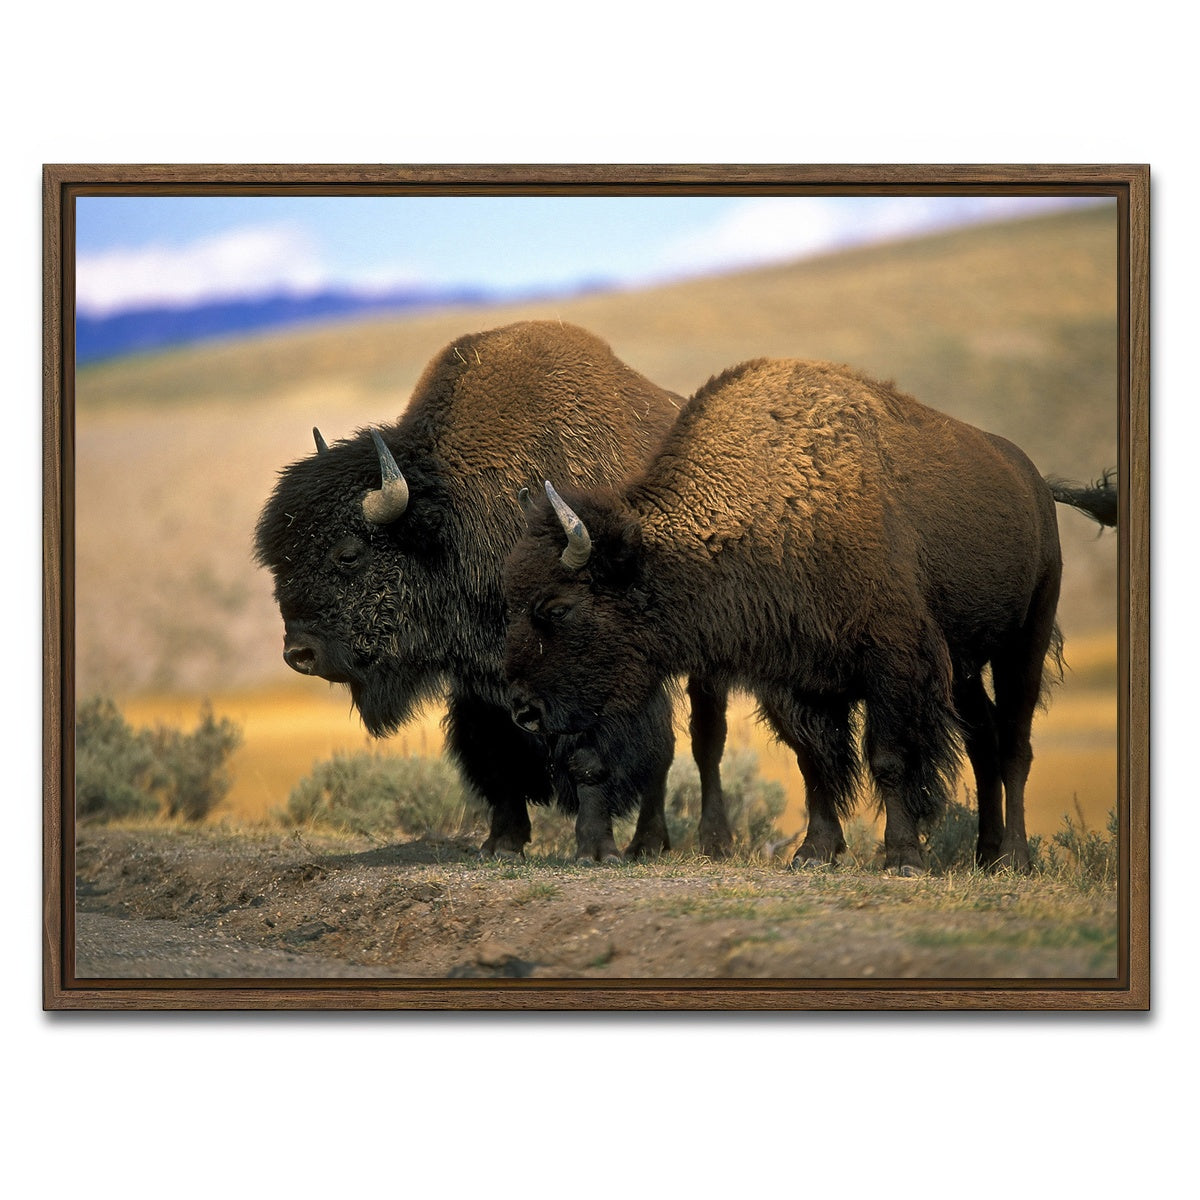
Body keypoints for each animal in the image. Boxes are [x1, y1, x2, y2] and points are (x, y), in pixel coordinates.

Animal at [254, 320, 730, 861]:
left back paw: (686, 842)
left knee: (699, 741)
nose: (299, 653)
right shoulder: (479, 682)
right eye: (279, 560)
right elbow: (497, 755)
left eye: (349, 554)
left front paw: (595, 849)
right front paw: (503, 842)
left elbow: (593, 757)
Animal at [503, 357, 1116, 874]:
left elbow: (888, 757)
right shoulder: (796, 680)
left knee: (1014, 743)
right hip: (964, 665)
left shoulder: (894, 662)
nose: (523, 710)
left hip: (1024, 642)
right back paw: (985, 855)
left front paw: (903, 858)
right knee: (983, 739)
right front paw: (814, 853)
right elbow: (815, 761)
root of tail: (1035, 483)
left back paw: (1015, 857)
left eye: (557, 607)